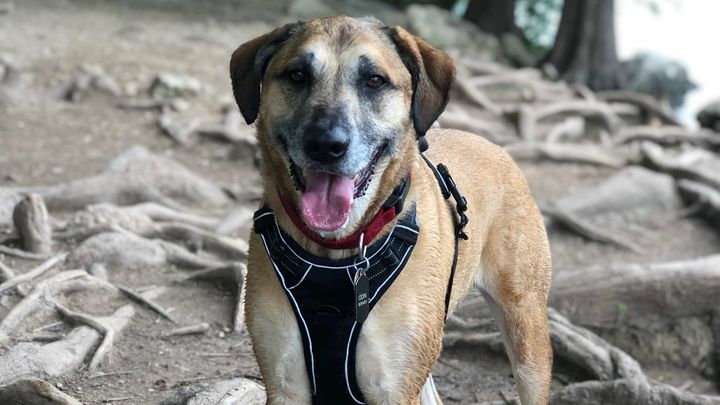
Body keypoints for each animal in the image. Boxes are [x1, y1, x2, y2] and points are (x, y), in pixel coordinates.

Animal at [231, 16, 553, 405]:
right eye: (297, 75)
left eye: (374, 80)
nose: (325, 144)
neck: (336, 252)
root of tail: (494, 146)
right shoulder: (285, 384)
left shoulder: (394, 387)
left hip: (526, 330)